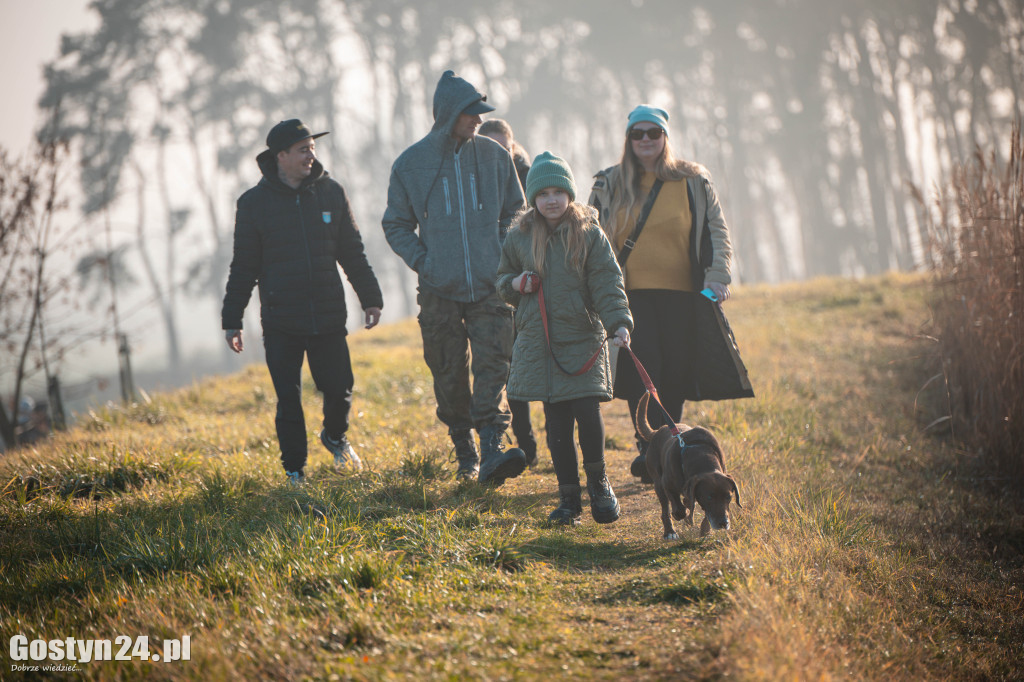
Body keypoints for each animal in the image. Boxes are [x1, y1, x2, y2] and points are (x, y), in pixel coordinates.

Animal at [630, 393, 745, 536]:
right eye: (709, 497)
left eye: (728, 497)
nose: (723, 523)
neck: (700, 455)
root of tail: (656, 431)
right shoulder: (667, 484)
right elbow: (679, 508)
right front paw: (680, 515)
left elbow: (702, 513)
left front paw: (705, 529)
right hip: (657, 482)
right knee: (665, 509)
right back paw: (670, 532)